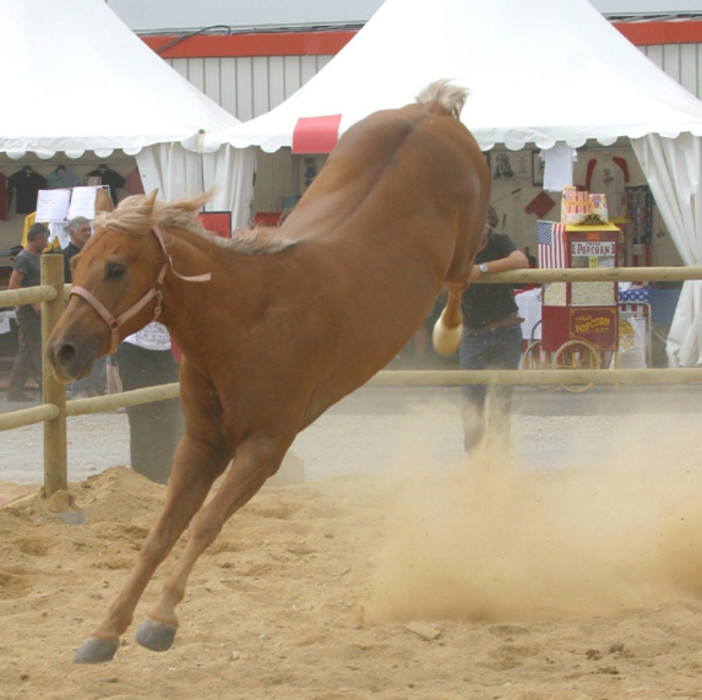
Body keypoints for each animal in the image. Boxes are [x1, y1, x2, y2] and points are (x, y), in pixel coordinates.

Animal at [46, 79, 490, 663]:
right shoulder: (201, 445)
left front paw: (161, 620)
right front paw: (104, 629)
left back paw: (447, 332)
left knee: (461, 282)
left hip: (464, 247)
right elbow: (161, 532)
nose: (61, 351)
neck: (245, 320)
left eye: (116, 268)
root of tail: (433, 111)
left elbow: (206, 524)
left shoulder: (263, 449)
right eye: (76, 263)